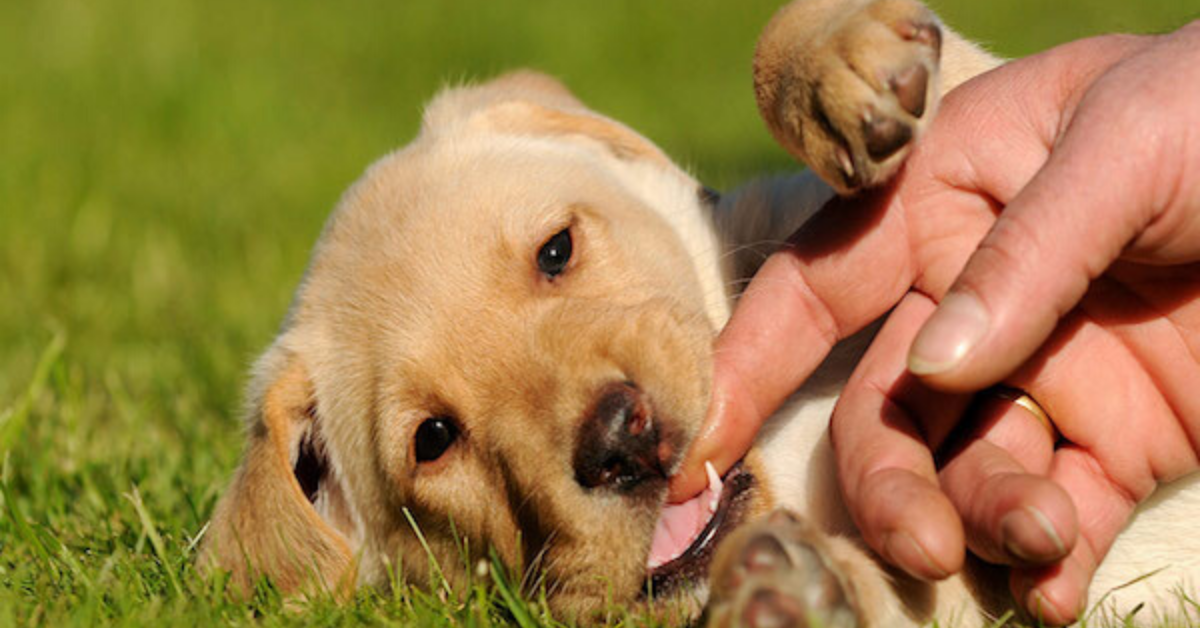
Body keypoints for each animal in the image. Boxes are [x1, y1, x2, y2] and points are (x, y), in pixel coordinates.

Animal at [201, 0, 1195, 624]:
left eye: (556, 250)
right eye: (433, 440)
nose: (617, 442)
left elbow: (931, 83)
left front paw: (845, 67)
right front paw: (800, 599)